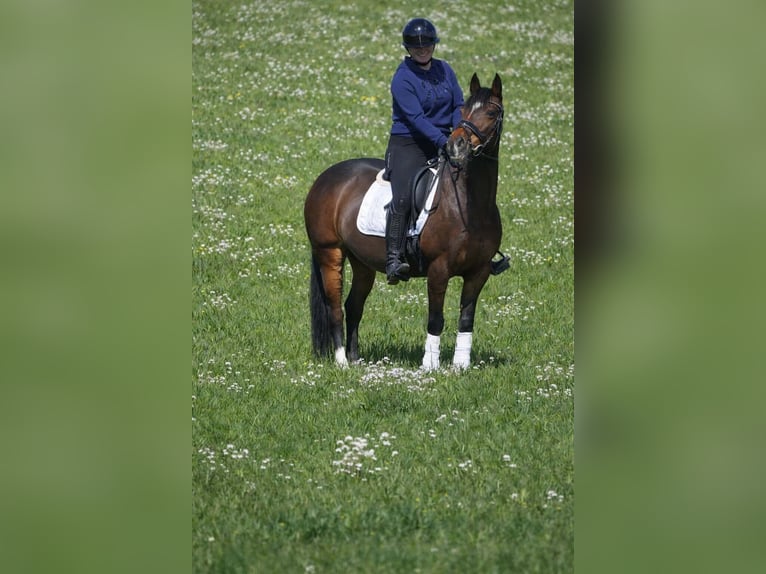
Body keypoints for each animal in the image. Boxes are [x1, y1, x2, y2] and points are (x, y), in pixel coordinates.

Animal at [304, 73, 507, 370]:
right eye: (463, 112)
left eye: (491, 113)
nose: (456, 146)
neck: (469, 205)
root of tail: (325, 178)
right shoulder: (438, 270)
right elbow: (436, 319)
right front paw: (430, 367)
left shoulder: (478, 272)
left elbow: (466, 319)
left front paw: (460, 367)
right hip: (329, 252)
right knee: (335, 307)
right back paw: (342, 362)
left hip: (361, 262)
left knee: (354, 306)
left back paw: (355, 360)